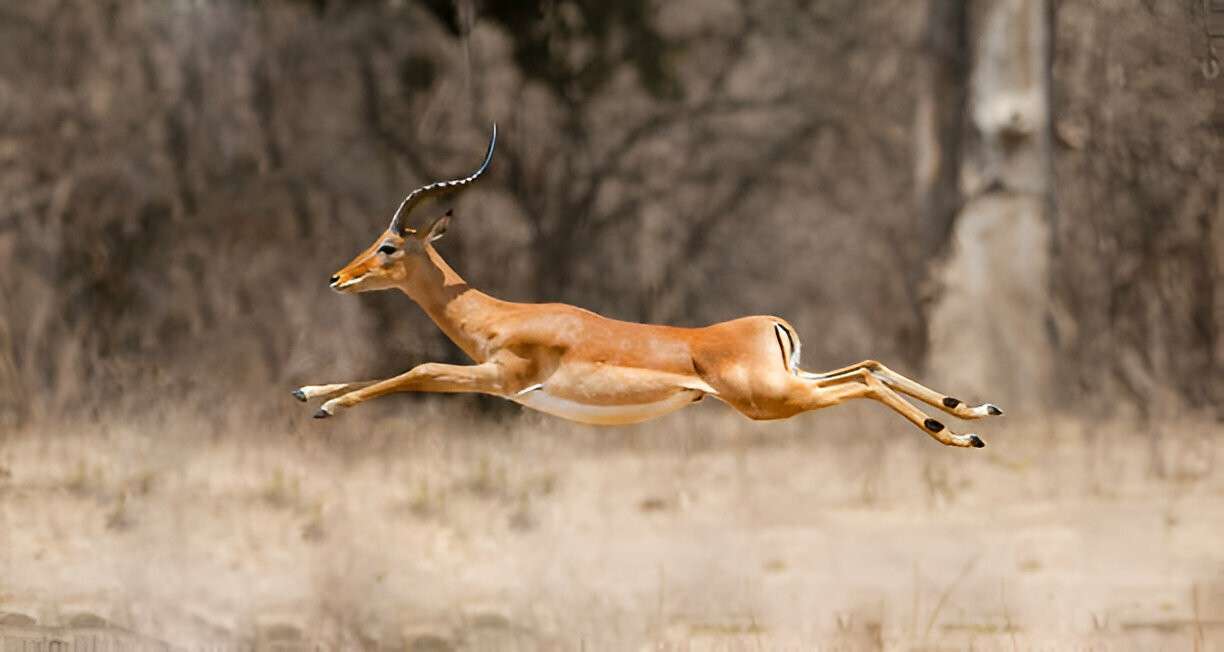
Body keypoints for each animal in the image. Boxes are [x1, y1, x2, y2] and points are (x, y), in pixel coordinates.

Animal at [294, 126, 1002, 447]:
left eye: (389, 246)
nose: (337, 276)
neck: (499, 316)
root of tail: (772, 325)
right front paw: (309, 391)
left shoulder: (500, 381)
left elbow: (414, 369)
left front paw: (328, 406)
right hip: (790, 382)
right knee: (870, 365)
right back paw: (972, 413)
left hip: (771, 400)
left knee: (865, 382)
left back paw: (958, 434)